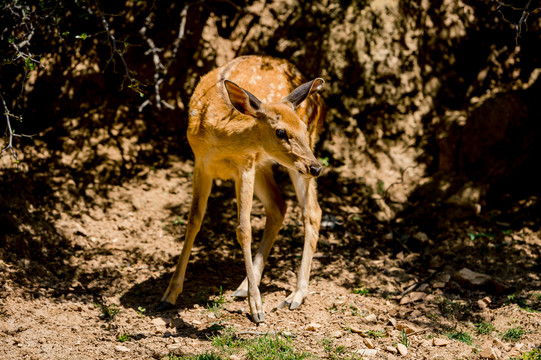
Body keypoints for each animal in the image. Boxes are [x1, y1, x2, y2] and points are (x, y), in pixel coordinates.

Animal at [157, 56, 324, 324]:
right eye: (280, 131)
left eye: (301, 126)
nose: (317, 167)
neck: (219, 134)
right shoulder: (200, 162)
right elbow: (194, 221)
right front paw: (169, 295)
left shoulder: (244, 164)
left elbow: (244, 229)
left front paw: (257, 308)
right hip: (266, 164)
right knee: (279, 206)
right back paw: (245, 286)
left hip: (291, 164)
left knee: (312, 211)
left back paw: (295, 295)